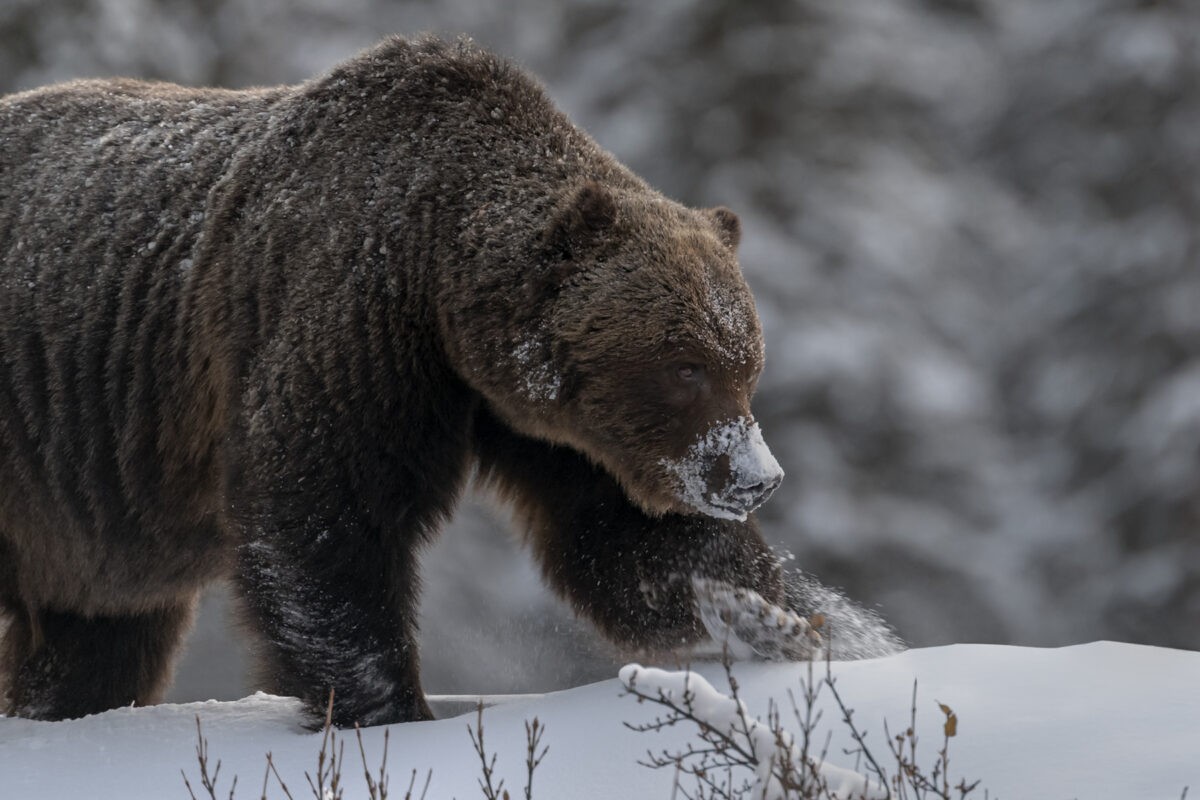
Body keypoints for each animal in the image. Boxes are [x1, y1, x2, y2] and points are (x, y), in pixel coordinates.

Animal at [0, 35, 902, 724]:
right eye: (686, 367)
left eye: (746, 364)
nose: (756, 479)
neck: (435, 285)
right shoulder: (350, 327)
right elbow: (323, 515)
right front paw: (390, 704)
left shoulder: (538, 423)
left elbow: (628, 540)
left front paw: (772, 617)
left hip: (94, 534)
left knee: (101, 636)